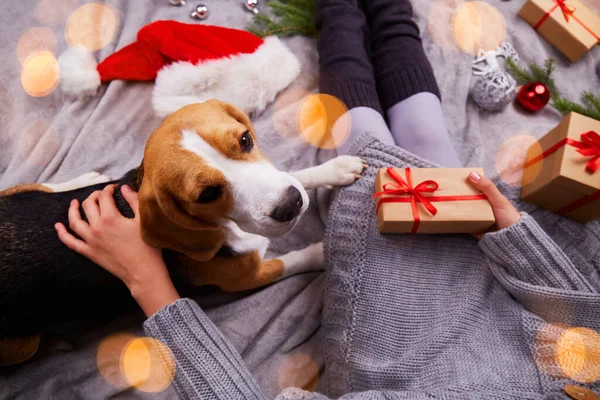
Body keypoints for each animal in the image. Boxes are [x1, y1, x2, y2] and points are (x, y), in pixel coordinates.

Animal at [0, 100, 366, 366]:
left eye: (245, 139)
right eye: (207, 194)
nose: (290, 206)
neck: (225, 226)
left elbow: (295, 175)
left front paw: (334, 169)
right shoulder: (244, 278)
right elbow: (292, 260)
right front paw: (324, 251)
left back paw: (83, 183)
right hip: (22, 345)